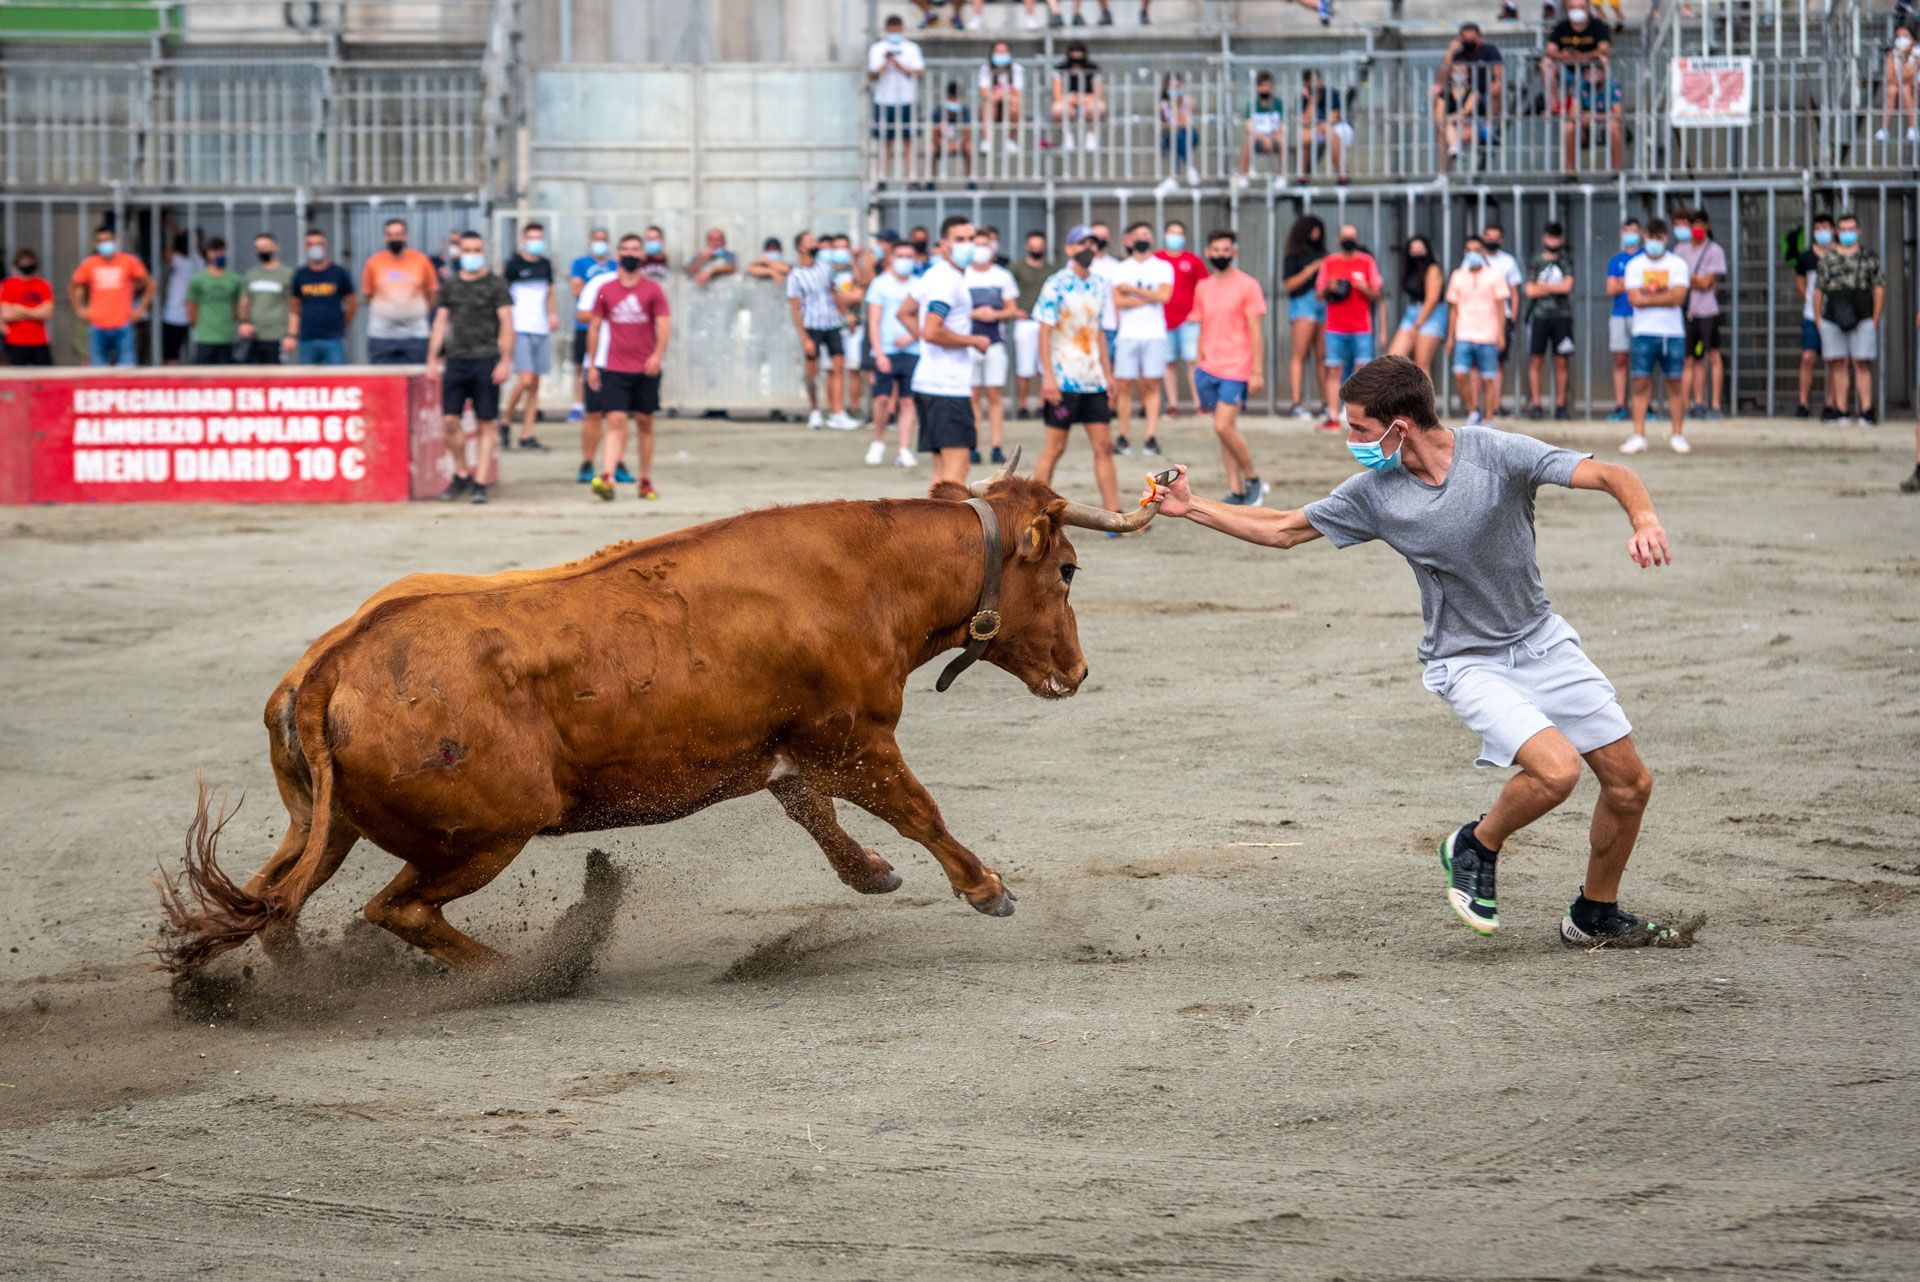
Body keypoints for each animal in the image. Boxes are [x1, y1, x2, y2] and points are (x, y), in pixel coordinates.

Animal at [161, 460, 1152, 971]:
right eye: (1067, 569)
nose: (1076, 670)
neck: (866, 575)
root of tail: (329, 668)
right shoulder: (857, 738)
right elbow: (918, 810)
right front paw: (987, 888)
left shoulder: (791, 747)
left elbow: (815, 812)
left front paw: (872, 874)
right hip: (486, 834)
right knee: (393, 909)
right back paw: (519, 976)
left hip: (323, 828)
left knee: (276, 903)